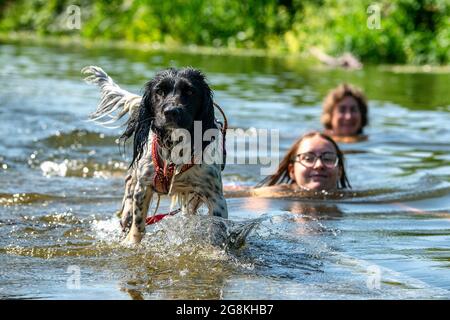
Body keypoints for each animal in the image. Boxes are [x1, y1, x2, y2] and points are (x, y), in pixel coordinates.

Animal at [82, 66, 227, 244]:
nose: (171, 111)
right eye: (159, 91)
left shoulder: (215, 196)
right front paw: (132, 243)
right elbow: (138, 223)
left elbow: (217, 226)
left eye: (190, 91)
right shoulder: (143, 187)